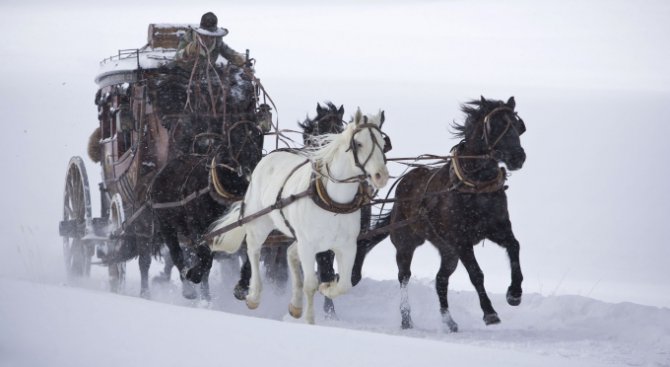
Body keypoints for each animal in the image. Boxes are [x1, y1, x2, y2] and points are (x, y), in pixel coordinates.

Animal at [207, 108, 392, 324]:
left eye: (383, 144)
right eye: (359, 143)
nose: (381, 176)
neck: (333, 203)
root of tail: (268, 157)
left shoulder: (346, 246)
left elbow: (344, 284)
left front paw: (327, 288)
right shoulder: (308, 245)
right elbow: (310, 285)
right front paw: (309, 320)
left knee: (289, 253)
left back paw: (295, 305)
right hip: (260, 223)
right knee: (253, 251)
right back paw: (253, 295)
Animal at [354, 96, 528, 332]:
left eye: (518, 126)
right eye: (496, 125)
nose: (518, 157)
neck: (474, 186)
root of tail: (403, 186)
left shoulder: (497, 229)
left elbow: (514, 247)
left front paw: (514, 293)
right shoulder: (461, 241)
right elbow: (476, 274)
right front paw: (490, 312)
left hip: (447, 251)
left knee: (440, 279)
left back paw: (448, 321)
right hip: (407, 242)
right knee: (404, 276)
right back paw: (406, 318)